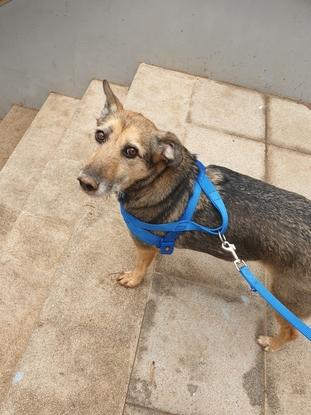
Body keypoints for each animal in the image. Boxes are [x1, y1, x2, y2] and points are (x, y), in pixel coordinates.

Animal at [77, 80, 310, 352]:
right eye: (100, 135)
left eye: (131, 151)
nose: (85, 182)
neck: (154, 180)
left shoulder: (143, 246)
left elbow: (139, 268)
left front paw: (133, 280)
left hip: (284, 296)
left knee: (292, 332)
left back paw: (271, 343)